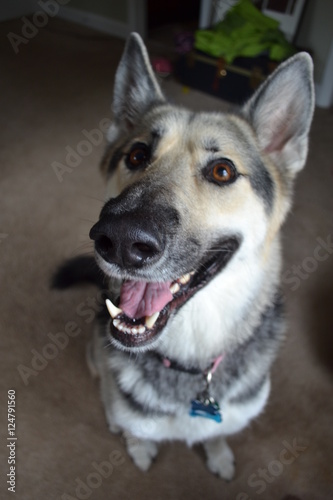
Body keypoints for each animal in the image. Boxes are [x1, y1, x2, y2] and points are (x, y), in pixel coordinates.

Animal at [52, 33, 314, 478]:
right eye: (137, 155)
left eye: (223, 171)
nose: (120, 239)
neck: (192, 357)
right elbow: (134, 426)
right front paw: (138, 445)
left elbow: (220, 433)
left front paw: (219, 453)